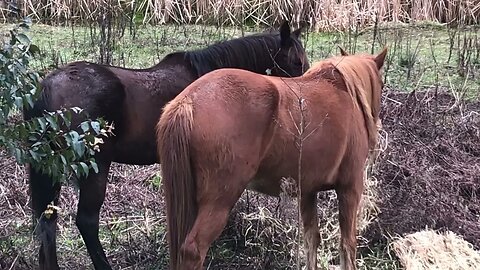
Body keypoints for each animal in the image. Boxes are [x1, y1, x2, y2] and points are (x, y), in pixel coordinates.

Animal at [22, 21, 310, 270]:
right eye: (296, 61)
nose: (303, 104)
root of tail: (47, 88)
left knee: (47, 221)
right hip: (95, 167)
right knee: (87, 221)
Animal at [156, 49, 388, 270]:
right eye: (382, 84)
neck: (345, 92)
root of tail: (188, 101)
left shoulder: (307, 192)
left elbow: (311, 241)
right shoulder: (350, 188)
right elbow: (347, 245)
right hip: (219, 200)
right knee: (193, 250)